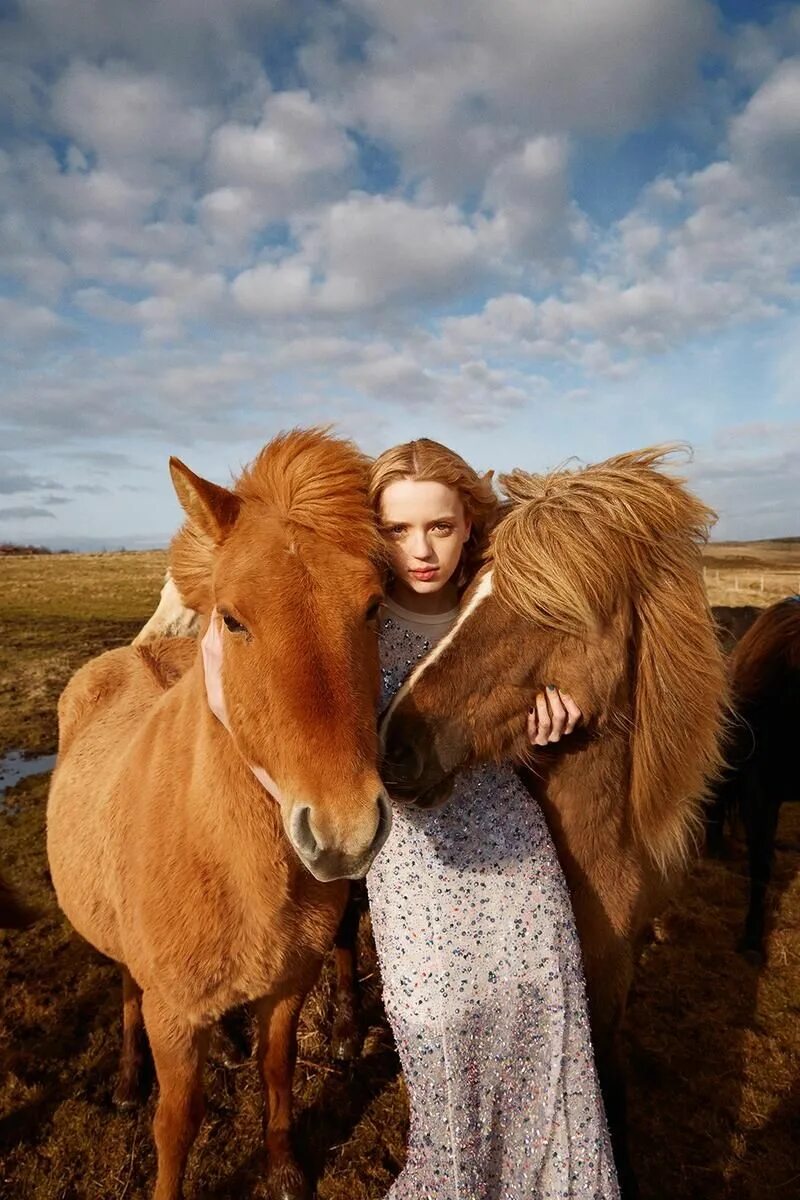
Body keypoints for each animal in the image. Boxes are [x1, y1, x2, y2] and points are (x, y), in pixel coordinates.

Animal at [47, 434, 391, 1200]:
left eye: (374, 607)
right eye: (232, 619)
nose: (343, 831)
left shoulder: (289, 986)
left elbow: (278, 1069)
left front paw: (285, 1166)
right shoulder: (173, 1018)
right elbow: (178, 1123)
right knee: (125, 985)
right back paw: (125, 1079)